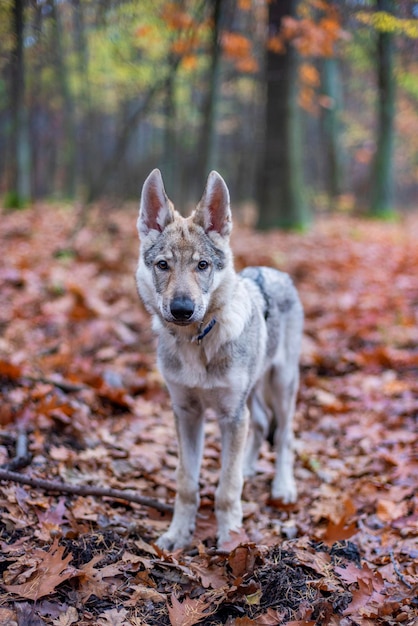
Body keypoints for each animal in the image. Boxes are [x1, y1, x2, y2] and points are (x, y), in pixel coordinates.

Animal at [136, 167, 302, 544]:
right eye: (163, 265)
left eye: (202, 265)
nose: (182, 309)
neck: (196, 342)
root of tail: (275, 271)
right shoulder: (186, 413)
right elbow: (186, 483)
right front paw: (178, 535)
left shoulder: (230, 415)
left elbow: (227, 487)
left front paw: (230, 539)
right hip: (250, 395)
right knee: (261, 423)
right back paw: (251, 466)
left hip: (281, 386)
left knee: (285, 437)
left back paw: (283, 487)